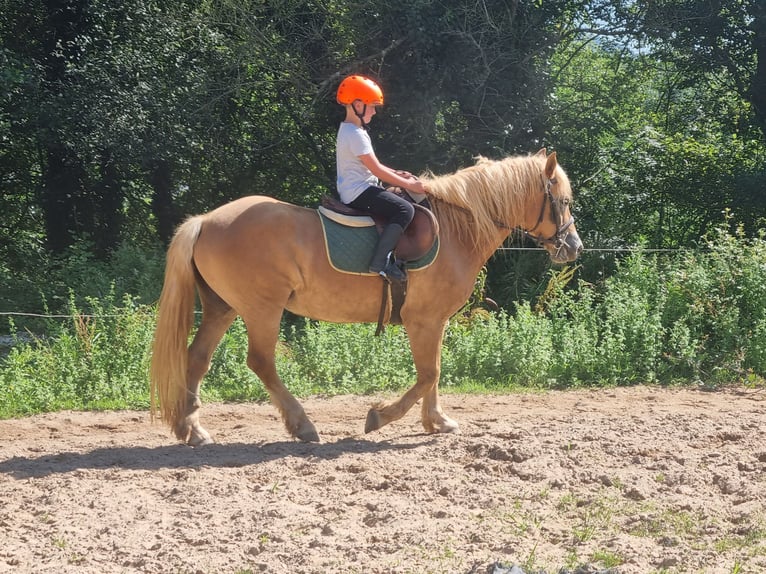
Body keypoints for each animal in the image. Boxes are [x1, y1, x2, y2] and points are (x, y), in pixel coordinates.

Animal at [148, 148, 584, 446]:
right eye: (563, 201)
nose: (574, 247)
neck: (455, 229)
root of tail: (205, 220)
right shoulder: (423, 320)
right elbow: (429, 373)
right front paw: (381, 417)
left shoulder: (435, 320)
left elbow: (434, 371)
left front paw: (437, 421)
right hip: (262, 309)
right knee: (261, 363)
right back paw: (302, 425)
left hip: (222, 308)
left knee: (196, 360)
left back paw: (192, 429)